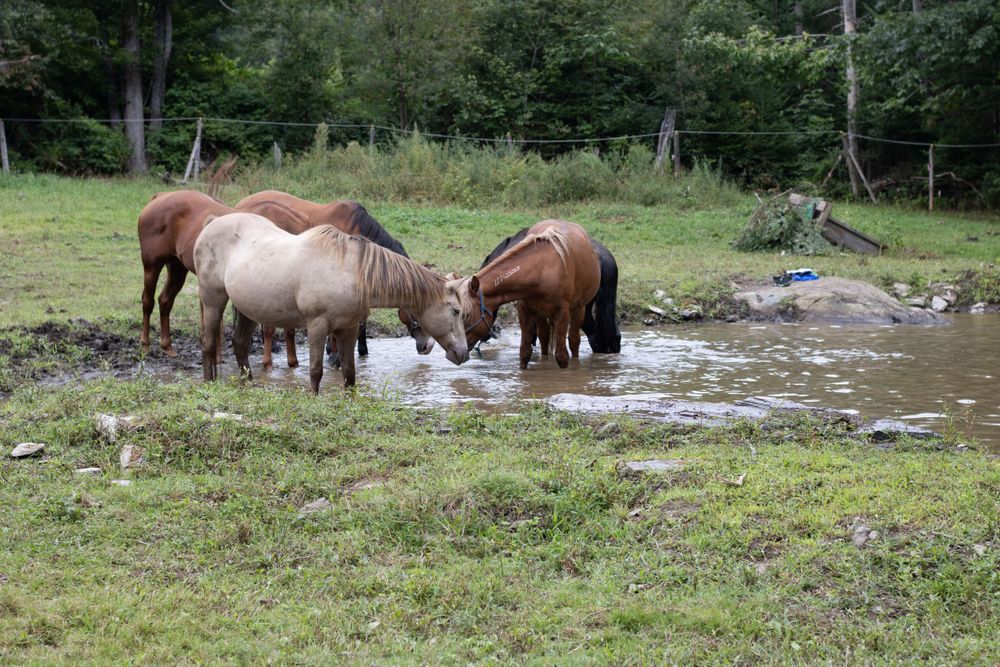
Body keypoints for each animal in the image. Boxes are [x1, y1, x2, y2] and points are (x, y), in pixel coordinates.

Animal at [138, 190, 313, 362]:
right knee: (148, 302)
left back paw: (167, 346)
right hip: (152, 266)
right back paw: (145, 345)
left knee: (165, 301)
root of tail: (160, 196)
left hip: (177, 268)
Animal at [193, 212, 470, 393]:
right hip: (213, 298)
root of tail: (211, 223)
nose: (463, 354)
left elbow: (349, 372)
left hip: (248, 308)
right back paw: (209, 383)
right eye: (456, 311)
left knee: (240, 344)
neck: (351, 272)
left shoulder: (348, 328)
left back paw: (248, 386)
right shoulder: (317, 326)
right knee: (208, 343)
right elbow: (316, 370)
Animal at [456, 220, 600, 369]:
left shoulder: (562, 314)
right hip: (540, 313)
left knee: (574, 341)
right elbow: (524, 352)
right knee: (544, 338)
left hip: (579, 309)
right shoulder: (525, 311)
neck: (542, 270)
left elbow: (562, 356)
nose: (458, 350)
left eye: (466, 316)